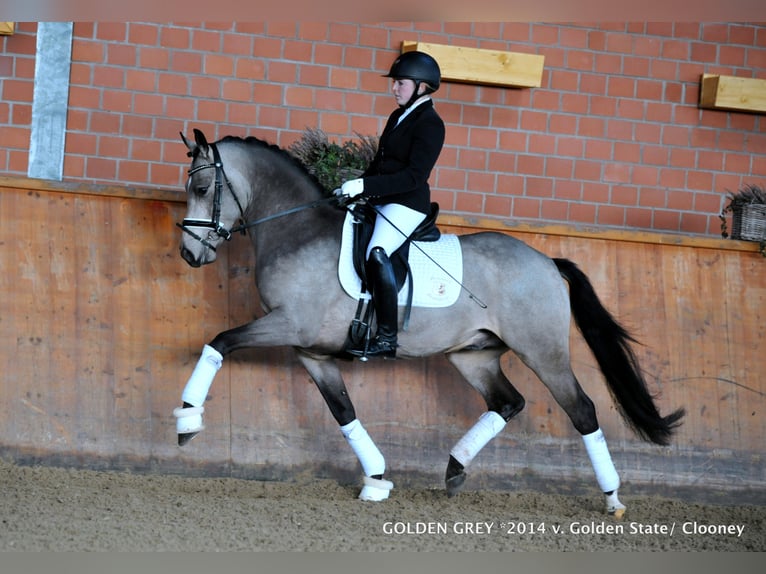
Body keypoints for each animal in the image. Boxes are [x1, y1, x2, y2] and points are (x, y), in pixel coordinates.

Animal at [172, 128, 685, 516]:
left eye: (202, 189)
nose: (190, 255)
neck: (297, 233)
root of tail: (546, 262)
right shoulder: (312, 351)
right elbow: (344, 412)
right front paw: (376, 478)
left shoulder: (288, 326)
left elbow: (220, 341)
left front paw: (188, 421)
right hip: (473, 355)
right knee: (508, 402)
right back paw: (456, 469)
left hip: (544, 352)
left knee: (581, 411)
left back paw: (612, 497)